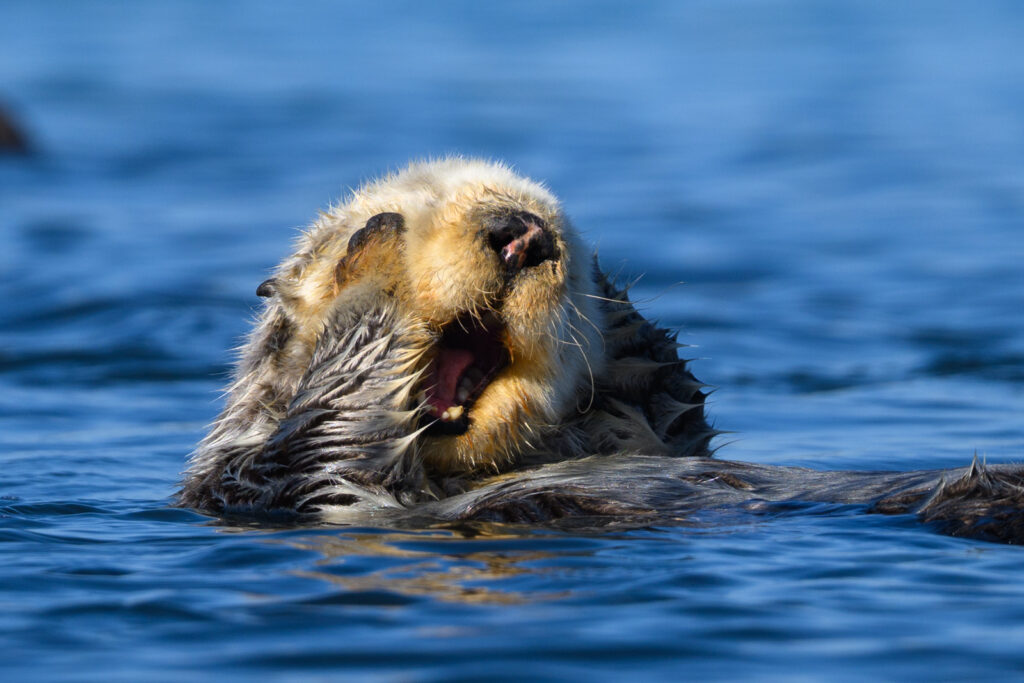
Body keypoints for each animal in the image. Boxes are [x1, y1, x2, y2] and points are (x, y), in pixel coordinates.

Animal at [180, 158, 1024, 544]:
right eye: (368, 221)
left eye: (567, 247)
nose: (519, 234)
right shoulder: (261, 481)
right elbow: (328, 434)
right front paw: (374, 258)